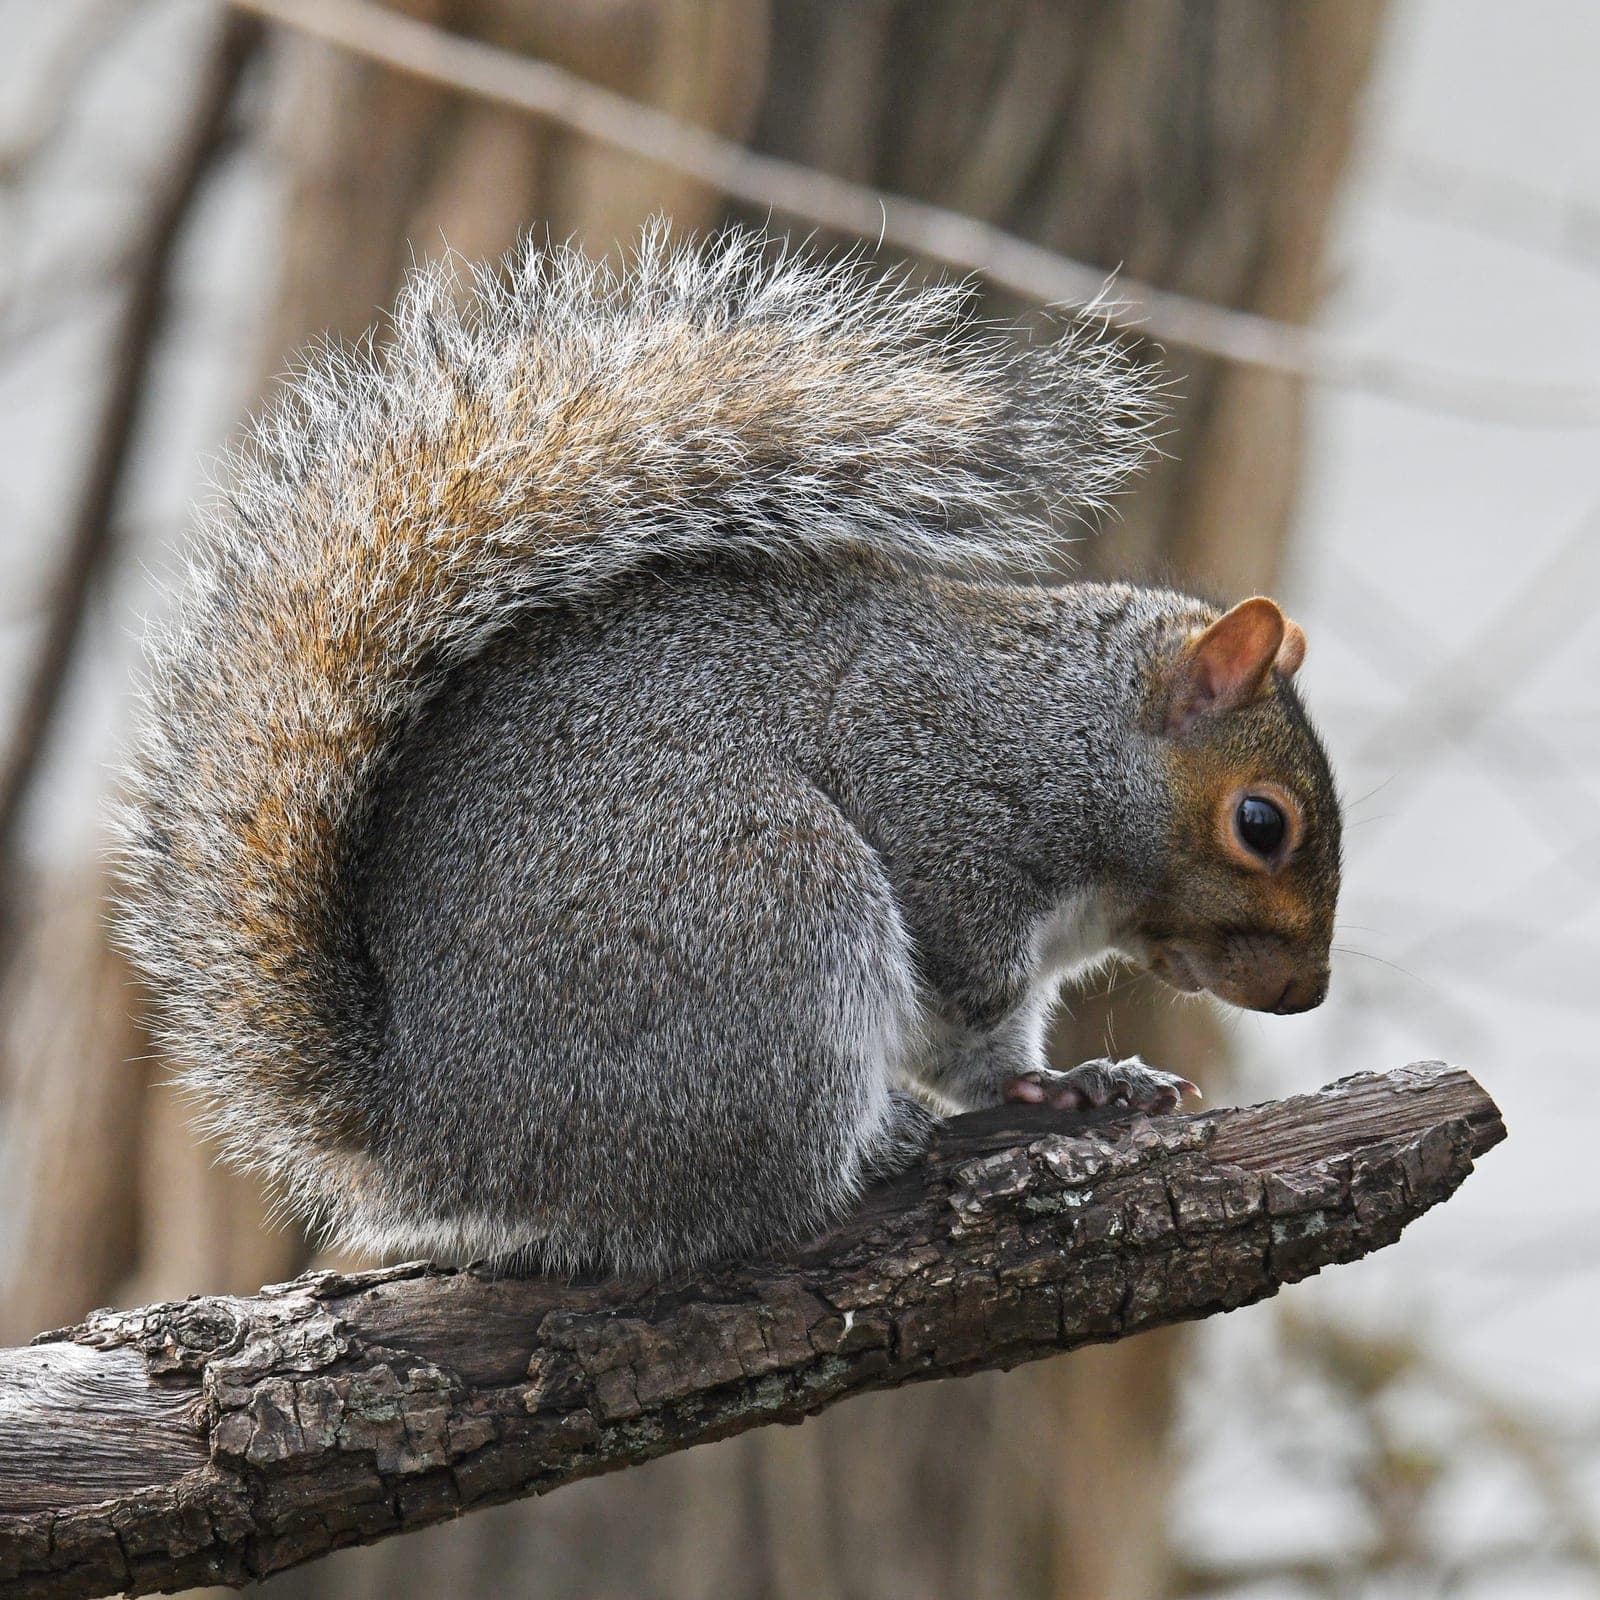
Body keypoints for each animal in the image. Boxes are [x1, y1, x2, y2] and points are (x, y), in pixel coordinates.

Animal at [116, 227, 1341, 1277]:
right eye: (1261, 823)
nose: (1306, 995)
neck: (1069, 734)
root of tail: (440, 1126)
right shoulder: (948, 831)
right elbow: (969, 1019)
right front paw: (1047, 1090)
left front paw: (1091, 1083)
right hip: (774, 911)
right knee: (764, 1186)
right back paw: (876, 1143)